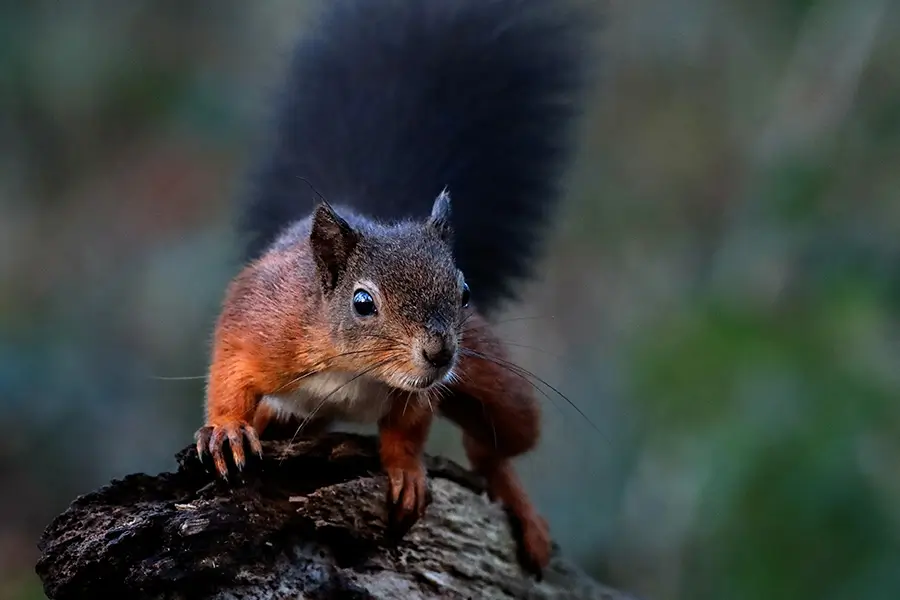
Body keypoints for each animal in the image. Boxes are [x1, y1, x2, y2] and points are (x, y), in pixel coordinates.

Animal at [194, 0, 591, 577]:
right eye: (362, 302)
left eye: (465, 291)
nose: (440, 352)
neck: (355, 371)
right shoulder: (263, 318)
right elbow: (229, 369)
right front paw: (226, 429)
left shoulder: (427, 386)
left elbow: (410, 427)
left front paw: (404, 470)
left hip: (499, 384)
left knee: (494, 446)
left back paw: (515, 499)